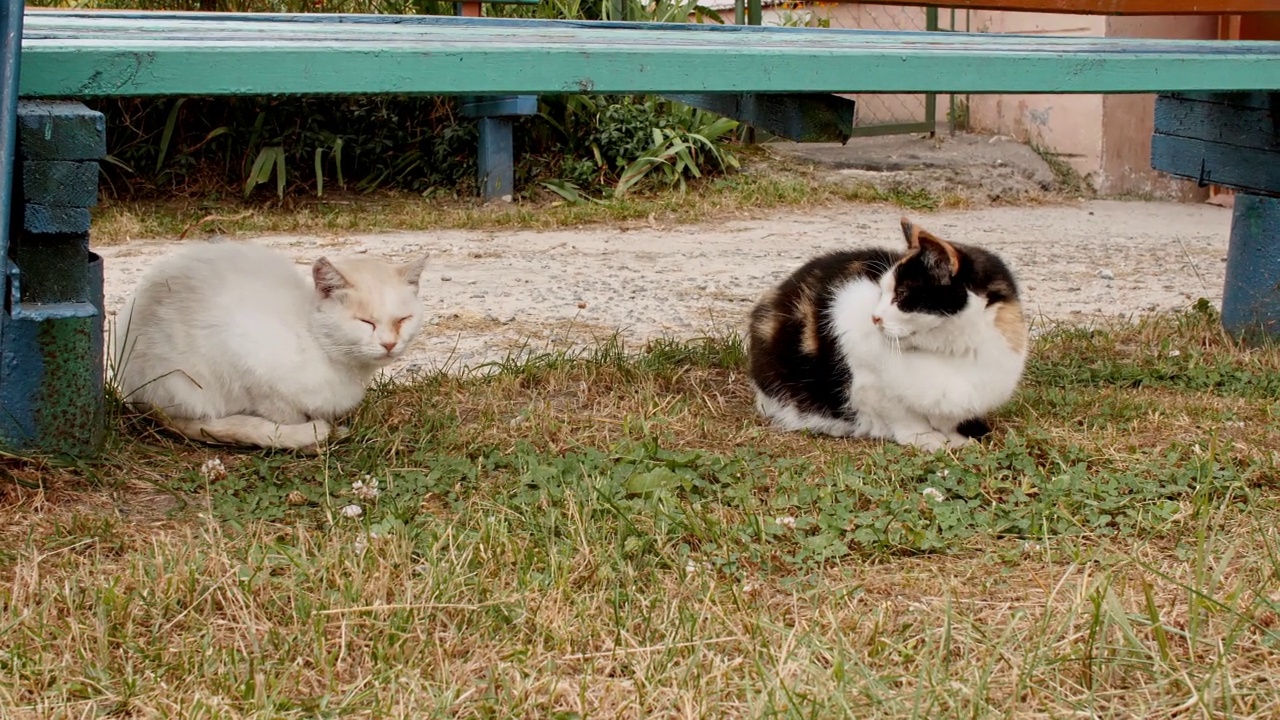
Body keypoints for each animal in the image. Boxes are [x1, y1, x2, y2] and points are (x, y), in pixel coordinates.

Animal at [113, 240, 427, 448]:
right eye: (366, 322)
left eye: (403, 320)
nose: (389, 344)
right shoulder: (247, 358)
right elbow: (284, 414)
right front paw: (305, 432)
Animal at [747, 217, 1029, 448]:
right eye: (880, 292)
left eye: (901, 295)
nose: (874, 317)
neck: (951, 352)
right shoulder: (867, 374)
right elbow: (902, 414)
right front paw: (926, 439)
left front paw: (958, 438)